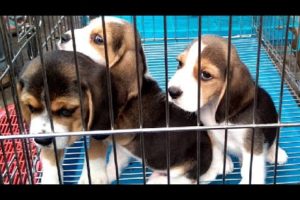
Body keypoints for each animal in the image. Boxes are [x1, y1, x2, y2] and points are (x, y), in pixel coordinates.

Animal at [169, 34, 288, 184]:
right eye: (179, 63)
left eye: (205, 75)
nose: (171, 91)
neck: (213, 107)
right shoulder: (210, 133)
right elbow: (216, 153)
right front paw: (217, 167)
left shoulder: (252, 143)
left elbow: (251, 169)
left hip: (276, 121)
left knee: (273, 141)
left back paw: (275, 153)